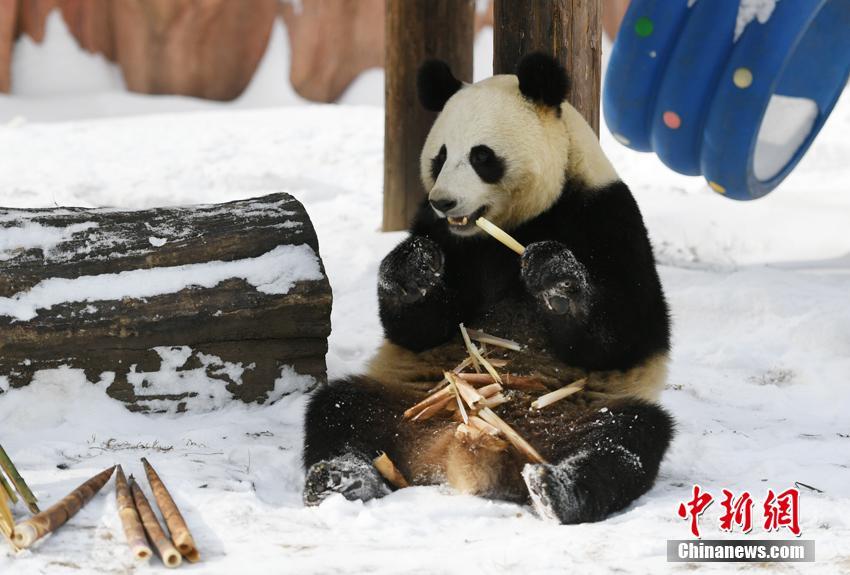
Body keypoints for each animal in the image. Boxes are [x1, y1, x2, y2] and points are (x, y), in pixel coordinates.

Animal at [302, 54, 672, 528]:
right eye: (439, 157)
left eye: (481, 156)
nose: (444, 201)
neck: (508, 226)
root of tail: (457, 451)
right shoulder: (441, 233)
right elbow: (418, 329)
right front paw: (412, 269)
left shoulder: (607, 216)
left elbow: (627, 332)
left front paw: (555, 276)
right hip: (405, 398)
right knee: (339, 410)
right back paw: (340, 479)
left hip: (581, 407)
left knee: (625, 438)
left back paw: (559, 489)